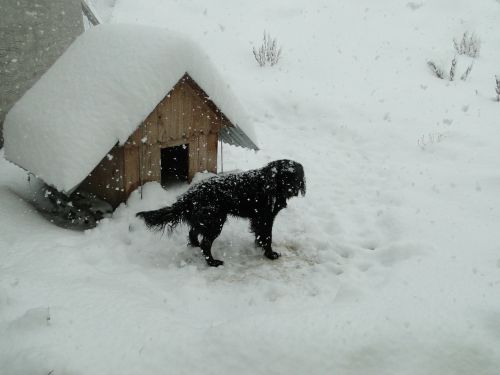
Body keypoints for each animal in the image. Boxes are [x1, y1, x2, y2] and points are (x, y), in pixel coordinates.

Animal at [136, 160, 304, 268]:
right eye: (285, 176)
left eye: (297, 177)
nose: (293, 189)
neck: (270, 185)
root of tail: (190, 194)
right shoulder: (265, 217)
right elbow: (267, 237)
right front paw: (270, 254)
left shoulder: (259, 219)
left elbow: (260, 236)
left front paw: (259, 247)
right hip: (215, 222)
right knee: (205, 243)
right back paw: (212, 262)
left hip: (206, 220)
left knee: (193, 233)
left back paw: (195, 245)